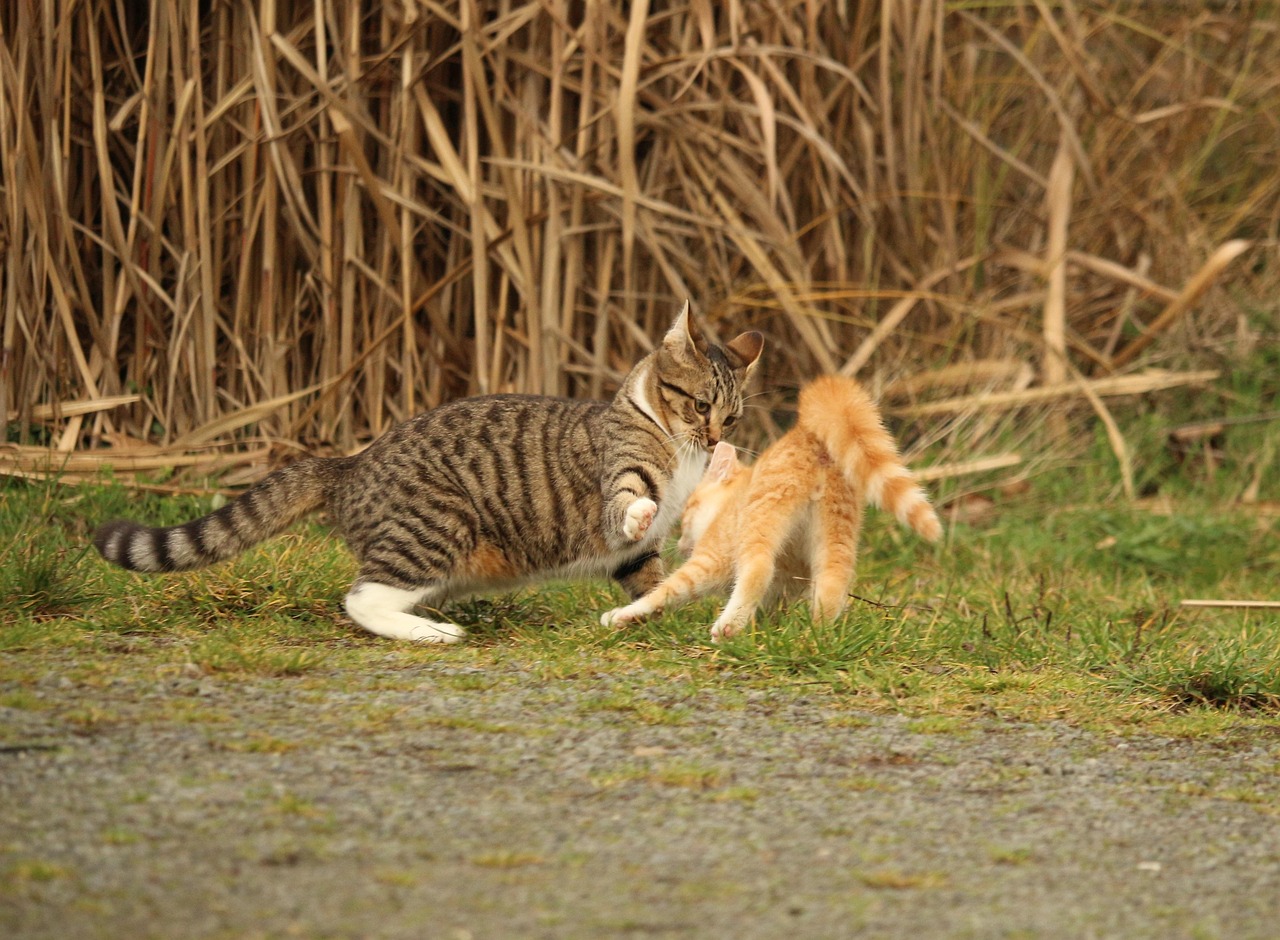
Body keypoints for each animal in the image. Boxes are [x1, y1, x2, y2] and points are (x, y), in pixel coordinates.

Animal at [97, 306, 768, 645]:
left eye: (732, 416)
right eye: (699, 405)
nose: (715, 440)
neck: (677, 452)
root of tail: (350, 464)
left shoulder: (634, 556)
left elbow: (650, 581)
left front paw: (652, 614)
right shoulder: (621, 477)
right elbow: (628, 501)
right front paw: (643, 511)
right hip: (436, 525)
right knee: (362, 599)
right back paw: (431, 633)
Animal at [599, 379, 942, 645]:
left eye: (687, 514)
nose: (682, 543)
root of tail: (811, 437)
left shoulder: (714, 555)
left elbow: (668, 590)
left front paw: (623, 615)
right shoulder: (789, 580)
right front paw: (768, 626)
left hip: (761, 519)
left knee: (758, 568)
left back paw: (728, 627)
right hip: (836, 532)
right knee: (834, 582)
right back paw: (815, 636)